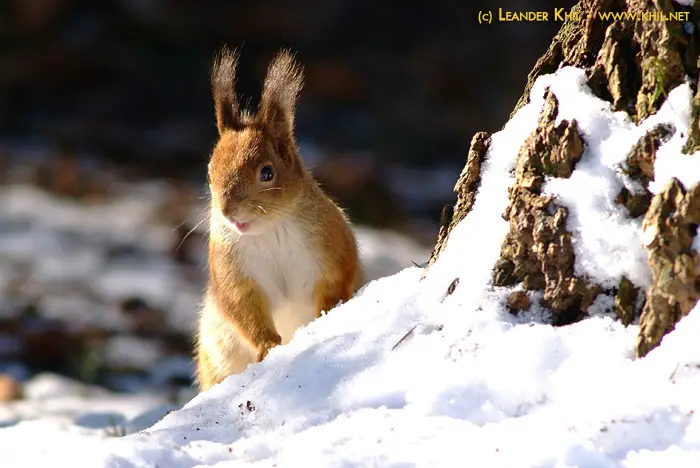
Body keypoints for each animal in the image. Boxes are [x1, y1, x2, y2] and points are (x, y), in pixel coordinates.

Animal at [195, 47, 362, 391]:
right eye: (209, 170)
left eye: (267, 173)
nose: (228, 212)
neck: (270, 230)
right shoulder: (234, 272)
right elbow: (243, 309)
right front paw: (268, 346)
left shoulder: (332, 252)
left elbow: (337, 284)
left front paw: (327, 315)